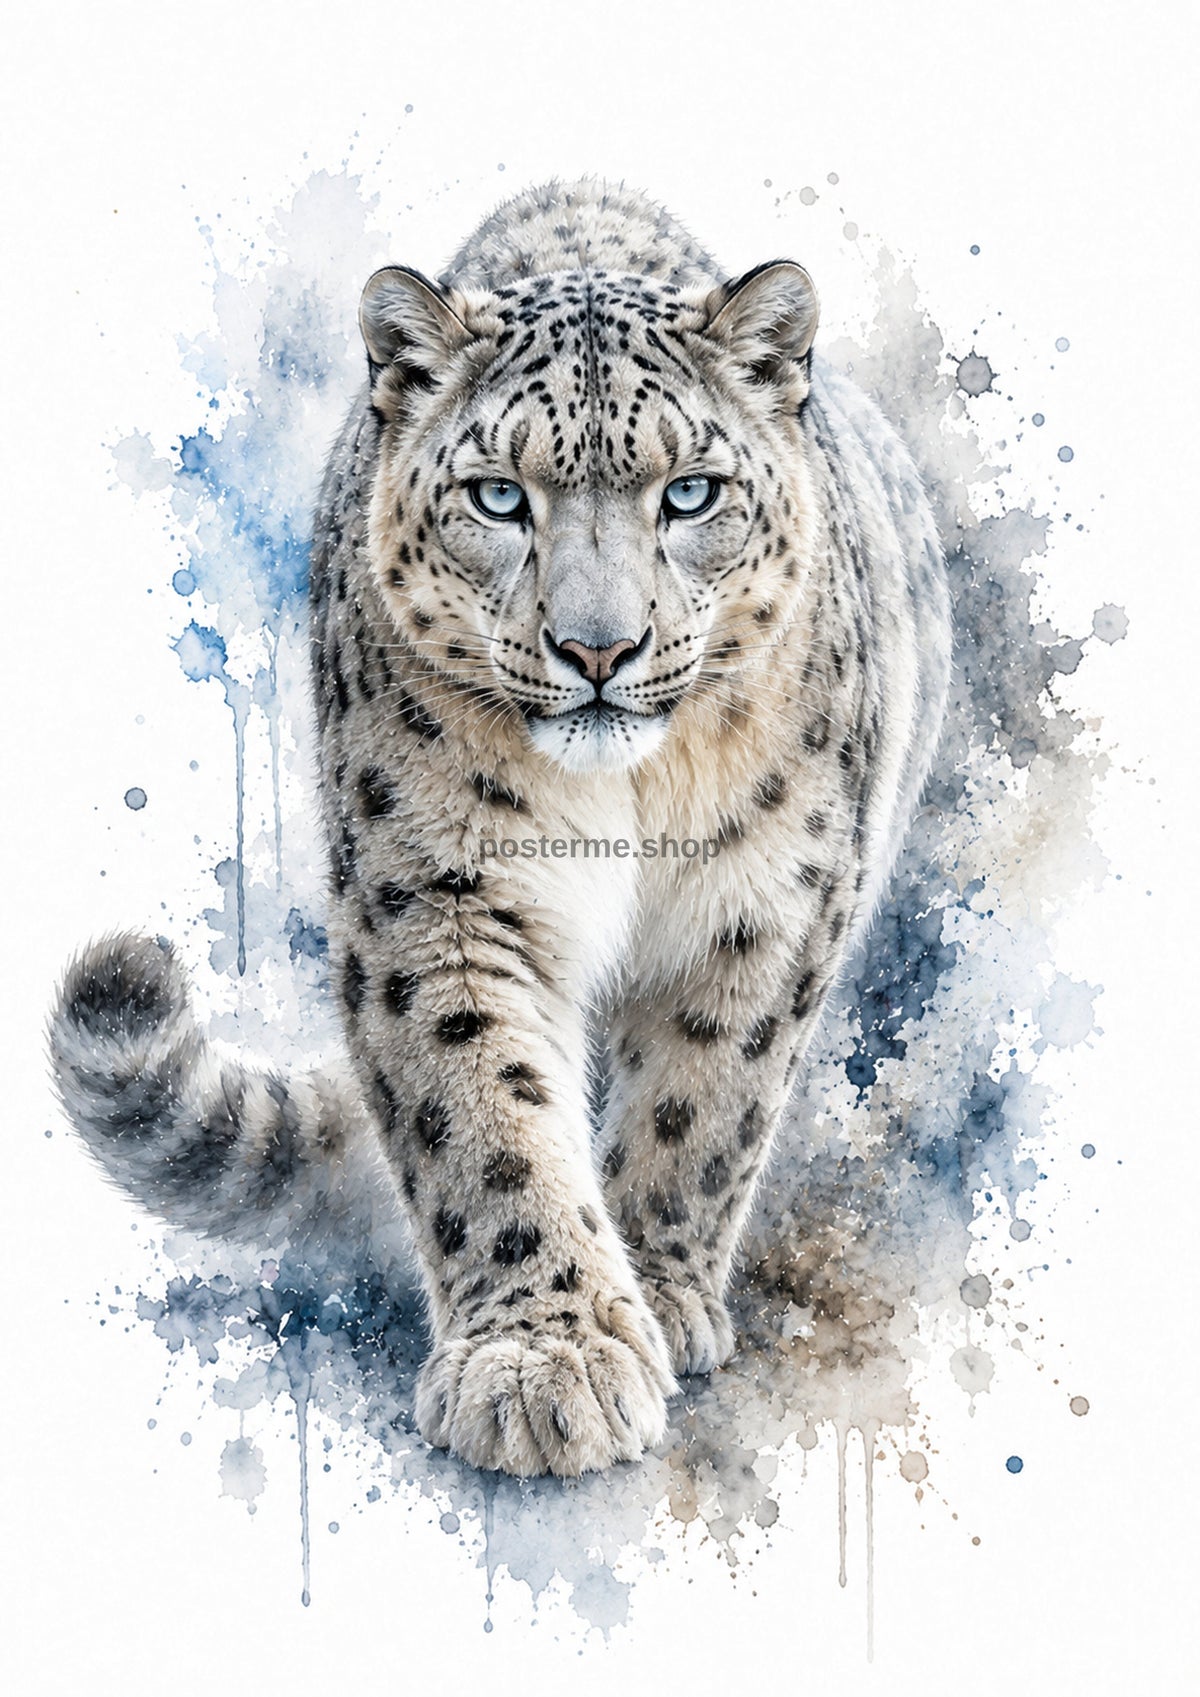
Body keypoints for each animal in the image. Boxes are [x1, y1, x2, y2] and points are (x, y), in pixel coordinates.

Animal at [51, 178, 951, 1479]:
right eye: (497, 495)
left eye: (690, 491)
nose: (597, 647)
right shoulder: (437, 890)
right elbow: (482, 1111)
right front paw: (545, 1363)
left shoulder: (769, 897)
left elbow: (703, 1100)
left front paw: (653, 1295)